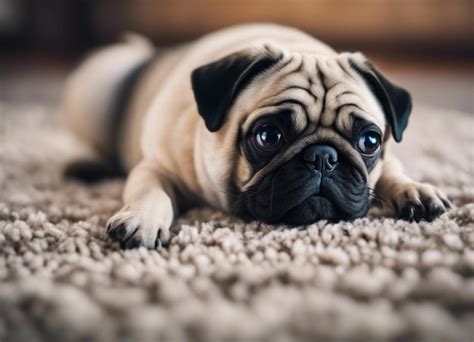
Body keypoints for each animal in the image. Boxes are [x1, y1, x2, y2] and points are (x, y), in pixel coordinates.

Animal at [63, 23, 452, 248]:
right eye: (268, 136)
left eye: (369, 141)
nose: (323, 156)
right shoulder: (156, 166)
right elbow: (150, 190)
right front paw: (143, 219)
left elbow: (392, 171)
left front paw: (415, 190)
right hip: (101, 78)